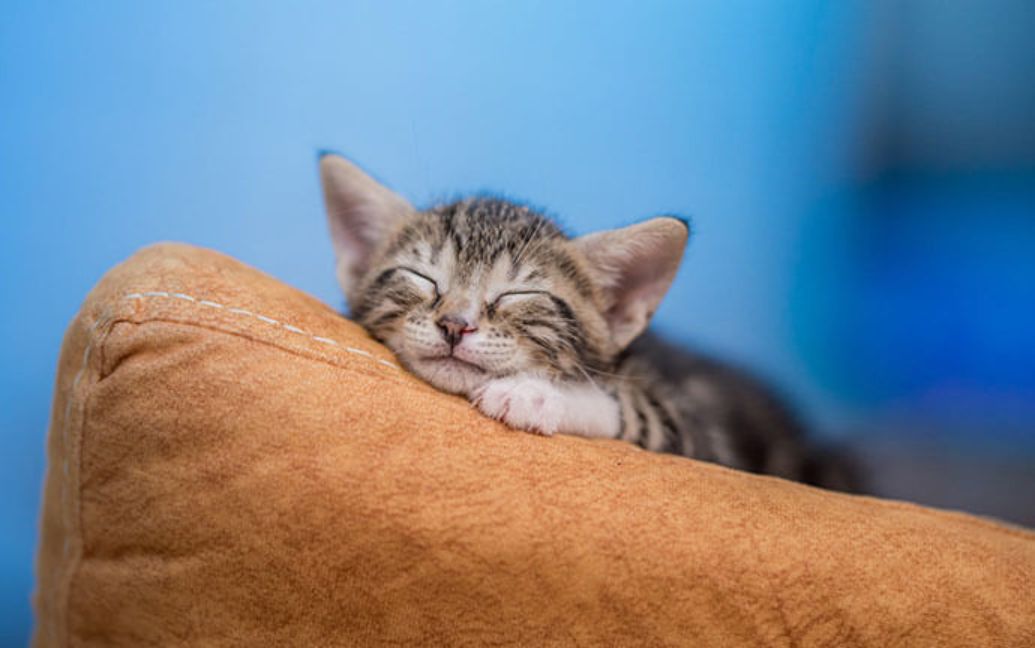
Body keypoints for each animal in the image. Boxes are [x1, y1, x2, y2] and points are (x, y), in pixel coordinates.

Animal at [318, 152, 861, 488]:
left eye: (518, 293)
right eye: (422, 277)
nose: (455, 323)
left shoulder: (704, 437)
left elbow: (627, 407)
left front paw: (531, 393)